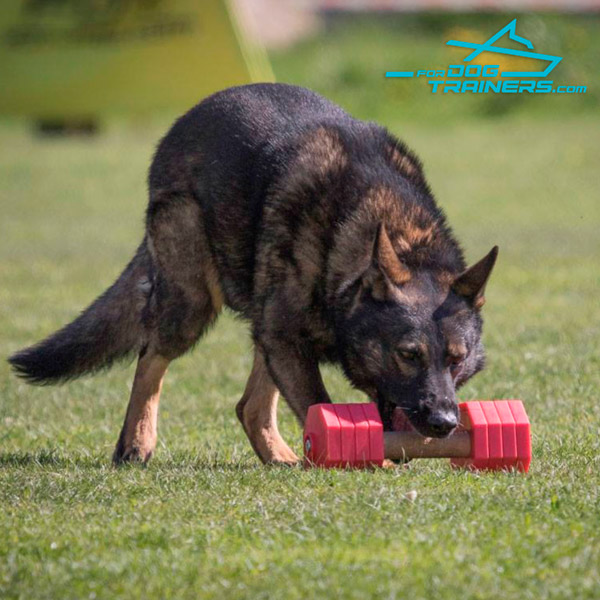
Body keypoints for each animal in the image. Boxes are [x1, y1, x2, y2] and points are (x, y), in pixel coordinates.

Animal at [9, 84, 496, 466]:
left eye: (456, 360)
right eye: (408, 355)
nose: (444, 423)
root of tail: (184, 121)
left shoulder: (282, 337)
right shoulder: (286, 338)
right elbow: (319, 404)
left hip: (262, 319)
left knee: (249, 405)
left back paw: (278, 457)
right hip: (193, 303)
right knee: (150, 356)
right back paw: (136, 443)